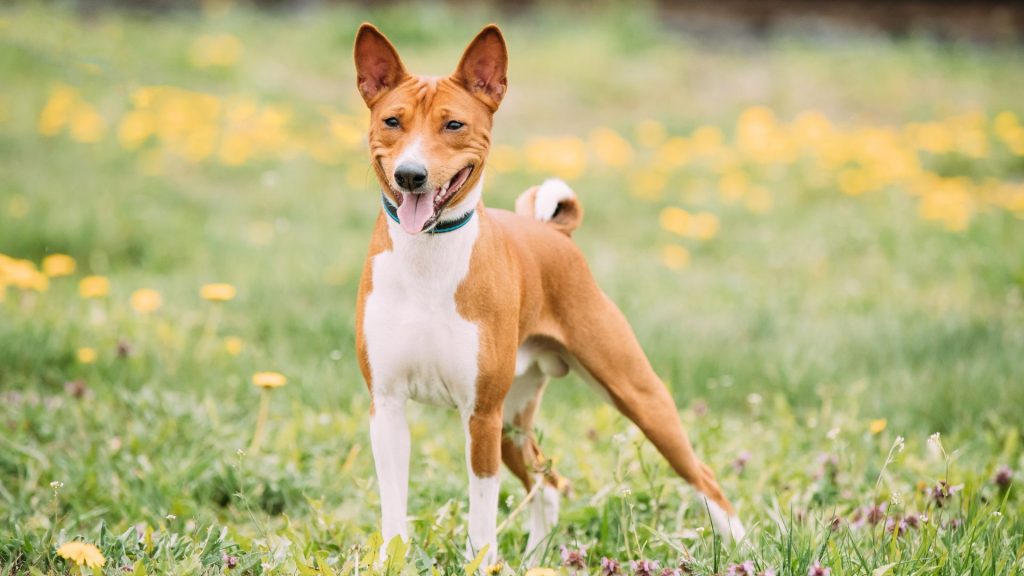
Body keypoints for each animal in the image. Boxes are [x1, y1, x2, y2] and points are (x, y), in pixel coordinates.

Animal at [352, 22, 745, 561]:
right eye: (393, 121)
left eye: (453, 125)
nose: (411, 175)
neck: (427, 260)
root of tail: (554, 233)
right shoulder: (388, 407)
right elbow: (395, 515)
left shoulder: (481, 415)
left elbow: (481, 522)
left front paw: (482, 566)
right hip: (515, 424)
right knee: (550, 484)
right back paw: (536, 560)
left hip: (635, 395)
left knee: (703, 477)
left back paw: (745, 550)